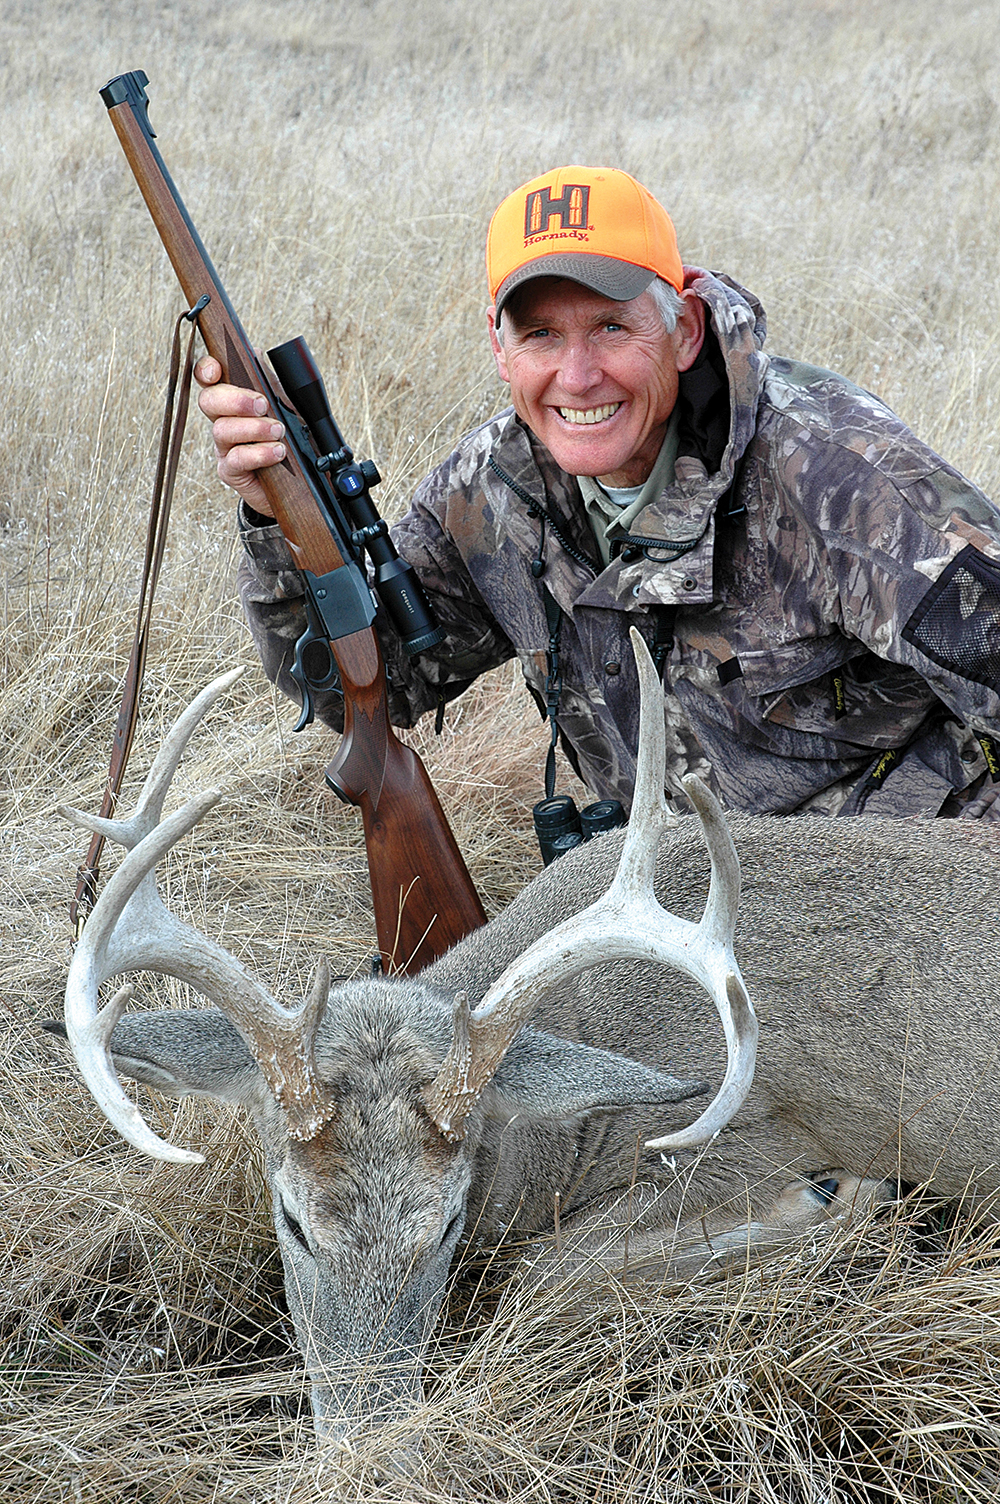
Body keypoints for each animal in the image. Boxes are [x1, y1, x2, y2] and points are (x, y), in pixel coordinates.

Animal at [53, 631, 1000, 1442]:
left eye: (447, 1225)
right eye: (291, 1220)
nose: (367, 1444)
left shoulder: (743, 1142)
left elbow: (538, 1277)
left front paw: (841, 1205)